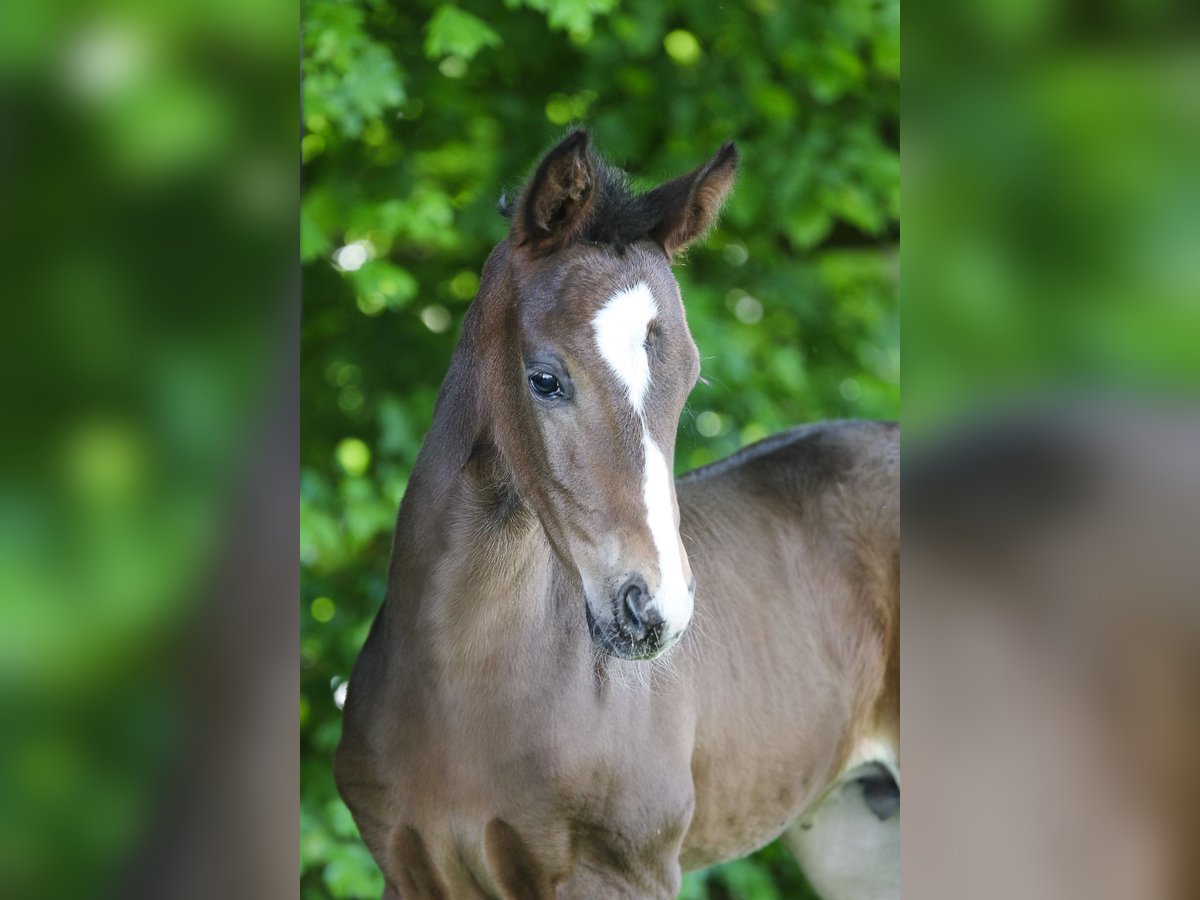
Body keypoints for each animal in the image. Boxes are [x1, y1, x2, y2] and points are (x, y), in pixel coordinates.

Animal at [333, 130, 897, 897]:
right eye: (545, 378)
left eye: (690, 380)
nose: (654, 610)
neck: (462, 682)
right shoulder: (409, 872)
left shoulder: (625, 871)